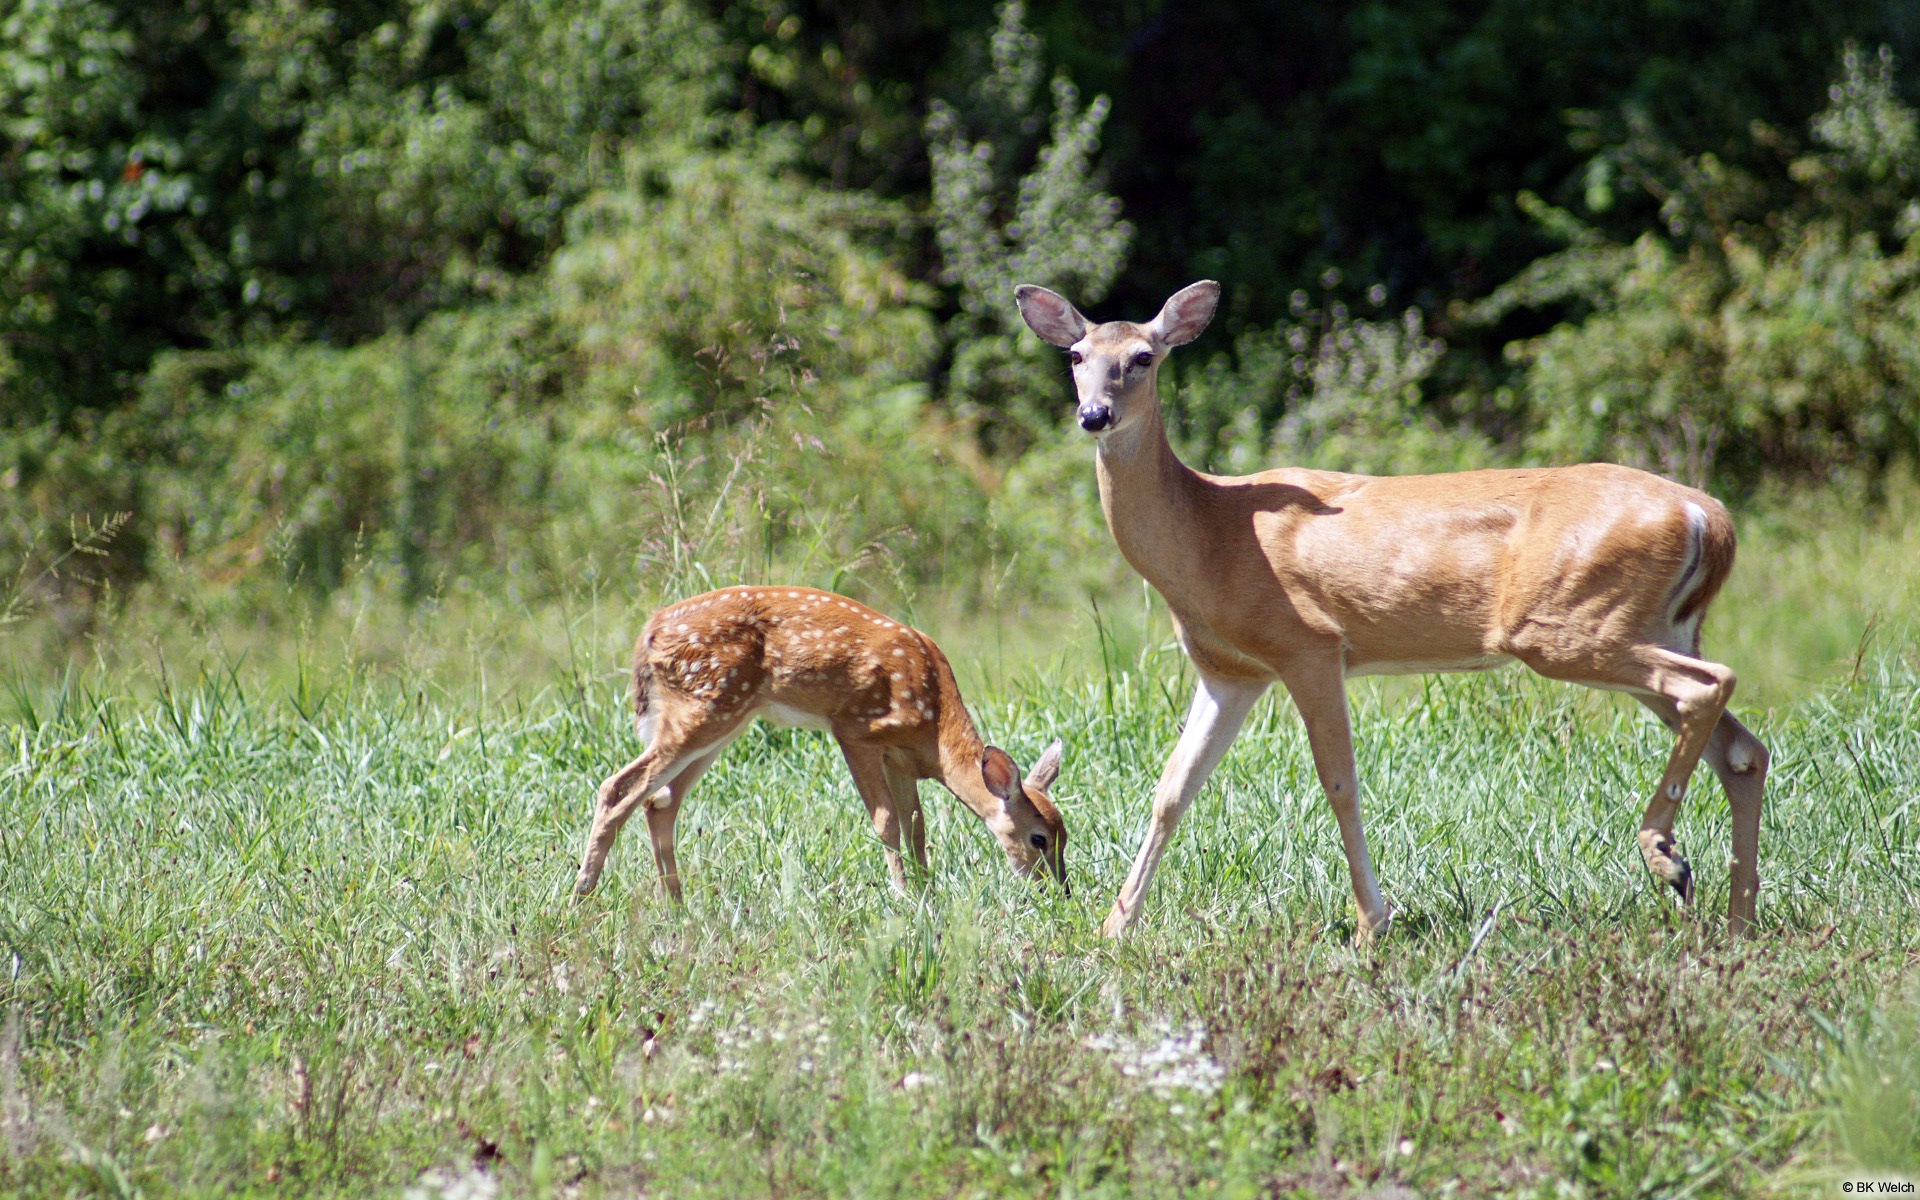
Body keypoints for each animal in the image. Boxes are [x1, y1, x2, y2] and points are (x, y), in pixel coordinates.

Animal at [576, 583, 1075, 902]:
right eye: (1038, 839)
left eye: (1064, 835)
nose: (1060, 891)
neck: (933, 729)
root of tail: (649, 632)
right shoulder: (855, 730)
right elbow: (886, 822)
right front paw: (905, 897)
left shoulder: (901, 760)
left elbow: (916, 826)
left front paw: (926, 889)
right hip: (704, 708)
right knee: (618, 787)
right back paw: (582, 895)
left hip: (723, 720)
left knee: (660, 802)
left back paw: (677, 906)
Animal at [1021, 278, 1766, 936]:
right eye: (1076, 356)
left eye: (1143, 357)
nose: (1094, 415)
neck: (1210, 534)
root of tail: (1709, 514)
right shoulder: (1232, 671)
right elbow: (1172, 789)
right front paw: (1115, 929)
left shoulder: (1309, 644)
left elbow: (1339, 784)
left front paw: (1371, 924)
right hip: (1655, 623)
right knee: (1742, 748)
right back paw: (1737, 920)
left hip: (1567, 624)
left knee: (1712, 686)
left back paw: (1666, 857)